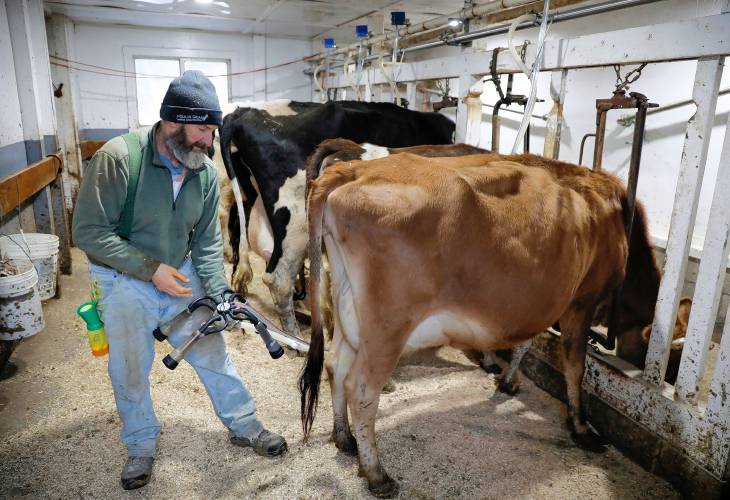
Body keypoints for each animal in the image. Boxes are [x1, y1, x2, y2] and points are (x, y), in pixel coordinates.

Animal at [298, 152, 692, 496]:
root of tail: (352, 170)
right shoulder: (581, 300)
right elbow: (574, 367)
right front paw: (581, 427)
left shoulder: (543, 300)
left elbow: (526, 341)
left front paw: (507, 380)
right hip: (387, 325)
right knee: (361, 388)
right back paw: (377, 474)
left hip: (349, 312)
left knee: (335, 364)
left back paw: (344, 438)